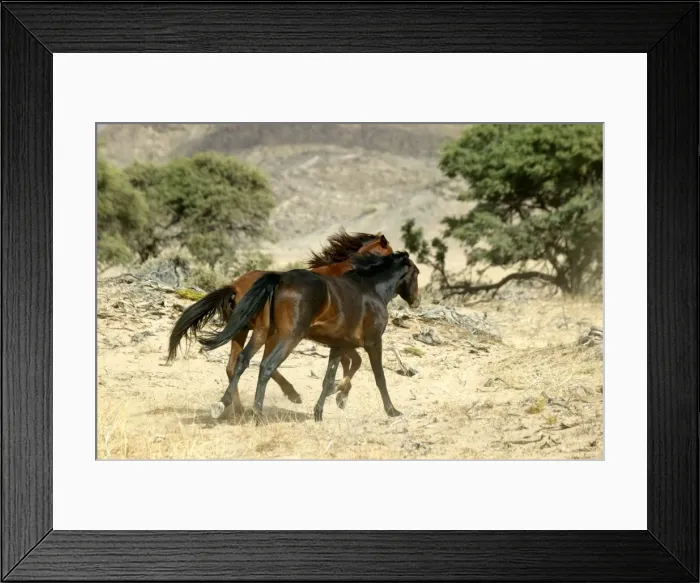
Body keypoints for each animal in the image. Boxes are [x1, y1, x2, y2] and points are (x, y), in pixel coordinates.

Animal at [167, 229, 394, 414]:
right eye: (388, 251)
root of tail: (235, 286)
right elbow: (354, 361)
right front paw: (340, 393)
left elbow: (349, 361)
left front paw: (339, 394)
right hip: (271, 333)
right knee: (263, 363)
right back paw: (290, 395)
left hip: (244, 330)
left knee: (234, 366)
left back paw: (236, 409)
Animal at [199, 251, 421, 423]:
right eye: (417, 273)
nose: (416, 301)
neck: (372, 289)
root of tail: (279, 279)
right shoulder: (374, 343)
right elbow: (379, 377)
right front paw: (392, 411)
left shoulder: (338, 345)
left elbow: (329, 379)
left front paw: (320, 411)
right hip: (288, 337)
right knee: (267, 366)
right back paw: (259, 414)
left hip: (263, 332)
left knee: (241, 361)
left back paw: (223, 405)